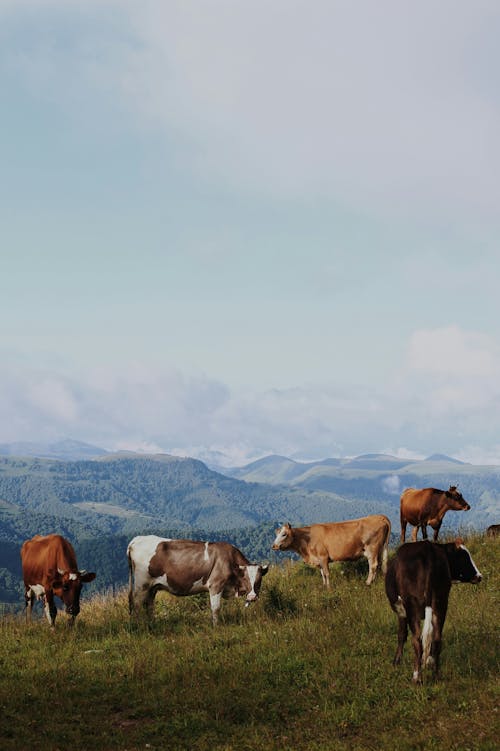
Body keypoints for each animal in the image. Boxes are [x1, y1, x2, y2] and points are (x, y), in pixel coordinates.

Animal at [129, 536, 270, 624]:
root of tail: (137, 539)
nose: (252, 597)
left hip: (152, 587)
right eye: (245, 578)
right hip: (141, 585)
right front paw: (216, 626)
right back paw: (139, 626)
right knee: (136, 605)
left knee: (149, 605)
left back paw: (151, 624)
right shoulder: (215, 585)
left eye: (259, 579)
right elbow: (215, 608)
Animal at [384, 540, 482, 680]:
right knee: (437, 639)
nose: (479, 576)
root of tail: (428, 549)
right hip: (441, 602)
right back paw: (436, 675)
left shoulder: (401, 611)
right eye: (463, 557)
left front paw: (396, 662)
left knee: (417, 640)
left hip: (411, 605)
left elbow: (402, 634)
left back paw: (416, 677)